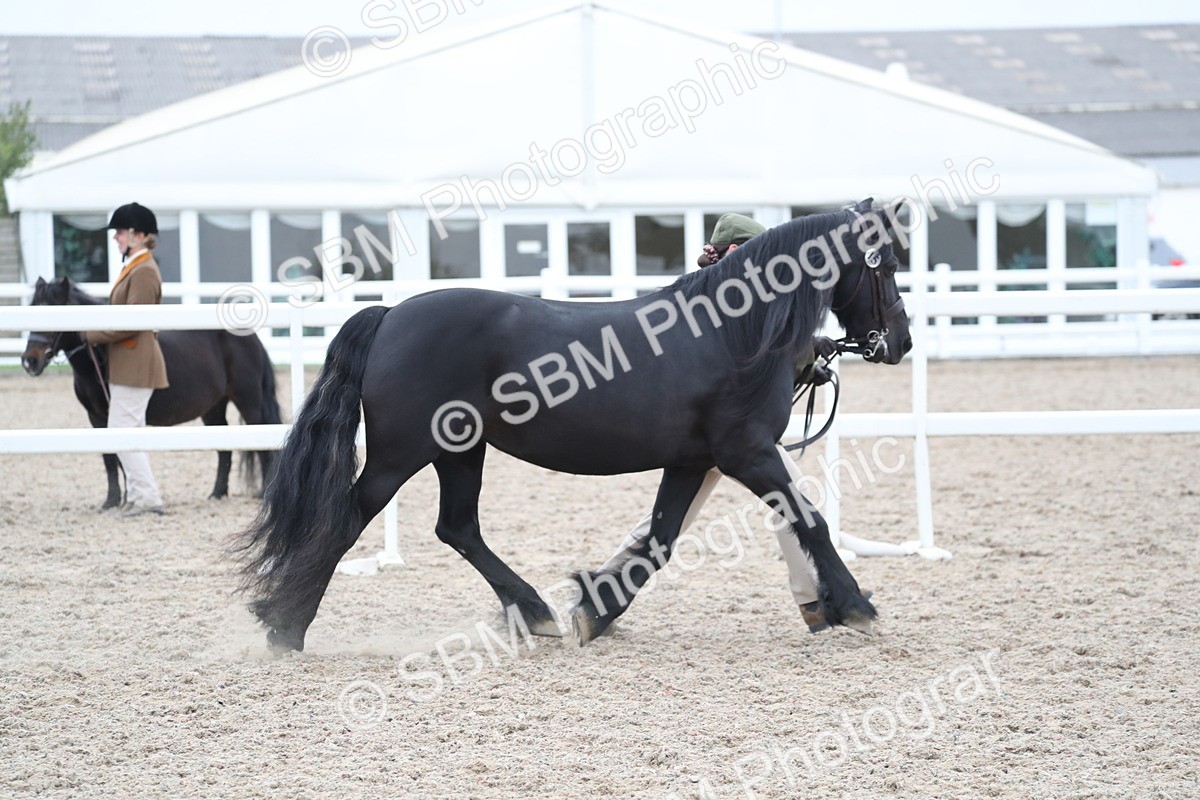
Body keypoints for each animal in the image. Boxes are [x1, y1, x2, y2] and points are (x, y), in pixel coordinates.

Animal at [21, 277, 284, 508]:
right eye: (32, 308)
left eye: (53, 312)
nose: (29, 361)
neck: (101, 357)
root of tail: (251, 337)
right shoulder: (96, 417)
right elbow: (110, 457)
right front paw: (114, 501)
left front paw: (124, 499)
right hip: (213, 408)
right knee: (224, 448)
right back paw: (217, 494)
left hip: (248, 401)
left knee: (262, 443)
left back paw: (263, 492)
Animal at [234, 199, 912, 654]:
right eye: (885, 264)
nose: (900, 342)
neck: (731, 333)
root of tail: (392, 313)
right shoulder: (747, 452)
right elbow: (809, 518)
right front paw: (855, 605)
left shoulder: (694, 460)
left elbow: (659, 539)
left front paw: (597, 609)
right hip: (402, 454)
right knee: (349, 519)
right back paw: (286, 629)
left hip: (461, 450)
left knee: (458, 527)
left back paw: (536, 612)